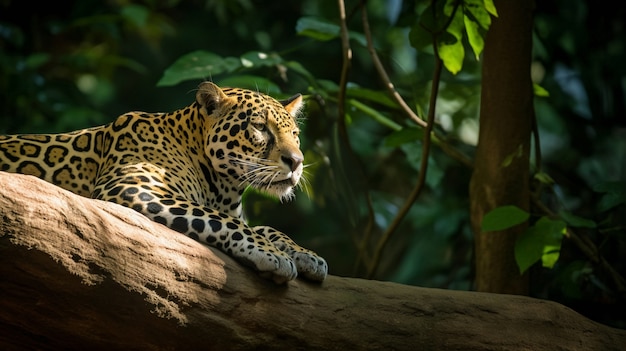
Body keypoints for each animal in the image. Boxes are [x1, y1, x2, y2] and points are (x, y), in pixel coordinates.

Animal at [0, 81, 330, 284]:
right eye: (260, 128)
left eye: (295, 135)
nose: (296, 161)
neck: (224, 188)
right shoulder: (131, 185)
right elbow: (222, 220)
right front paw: (274, 255)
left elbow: (264, 227)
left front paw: (307, 255)